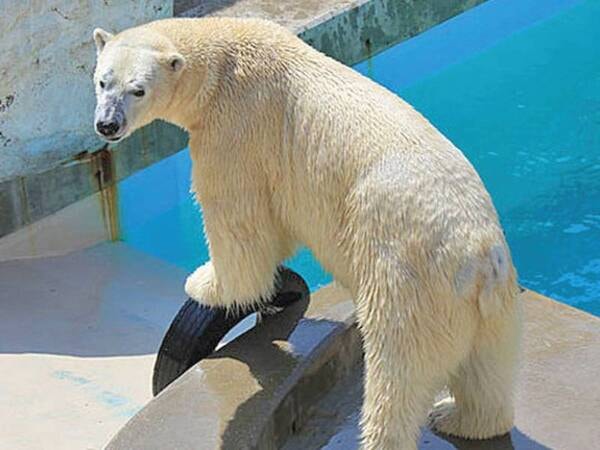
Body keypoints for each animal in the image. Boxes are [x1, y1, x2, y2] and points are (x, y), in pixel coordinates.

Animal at [92, 18, 520, 450]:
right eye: (102, 81)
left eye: (138, 89)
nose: (107, 124)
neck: (223, 56)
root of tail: (480, 258)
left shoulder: (234, 131)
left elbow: (240, 228)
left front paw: (204, 284)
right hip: (492, 308)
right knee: (486, 370)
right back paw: (457, 417)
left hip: (409, 277)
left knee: (398, 368)